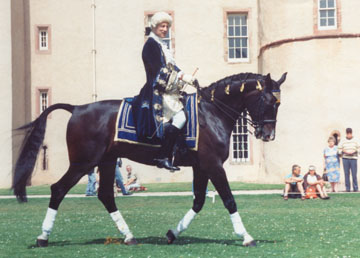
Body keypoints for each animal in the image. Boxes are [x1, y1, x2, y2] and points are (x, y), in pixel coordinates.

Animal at [11, 71, 286, 247]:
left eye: (279, 104)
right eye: (268, 101)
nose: (268, 134)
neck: (212, 112)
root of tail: (77, 108)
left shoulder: (201, 167)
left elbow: (198, 202)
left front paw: (173, 233)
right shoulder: (213, 165)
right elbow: (229, 200)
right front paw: (246, 236)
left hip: (106, 161)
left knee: (106, 196)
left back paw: (128, 236)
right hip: (83, 163)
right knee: (58, 190)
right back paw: (43, 237)